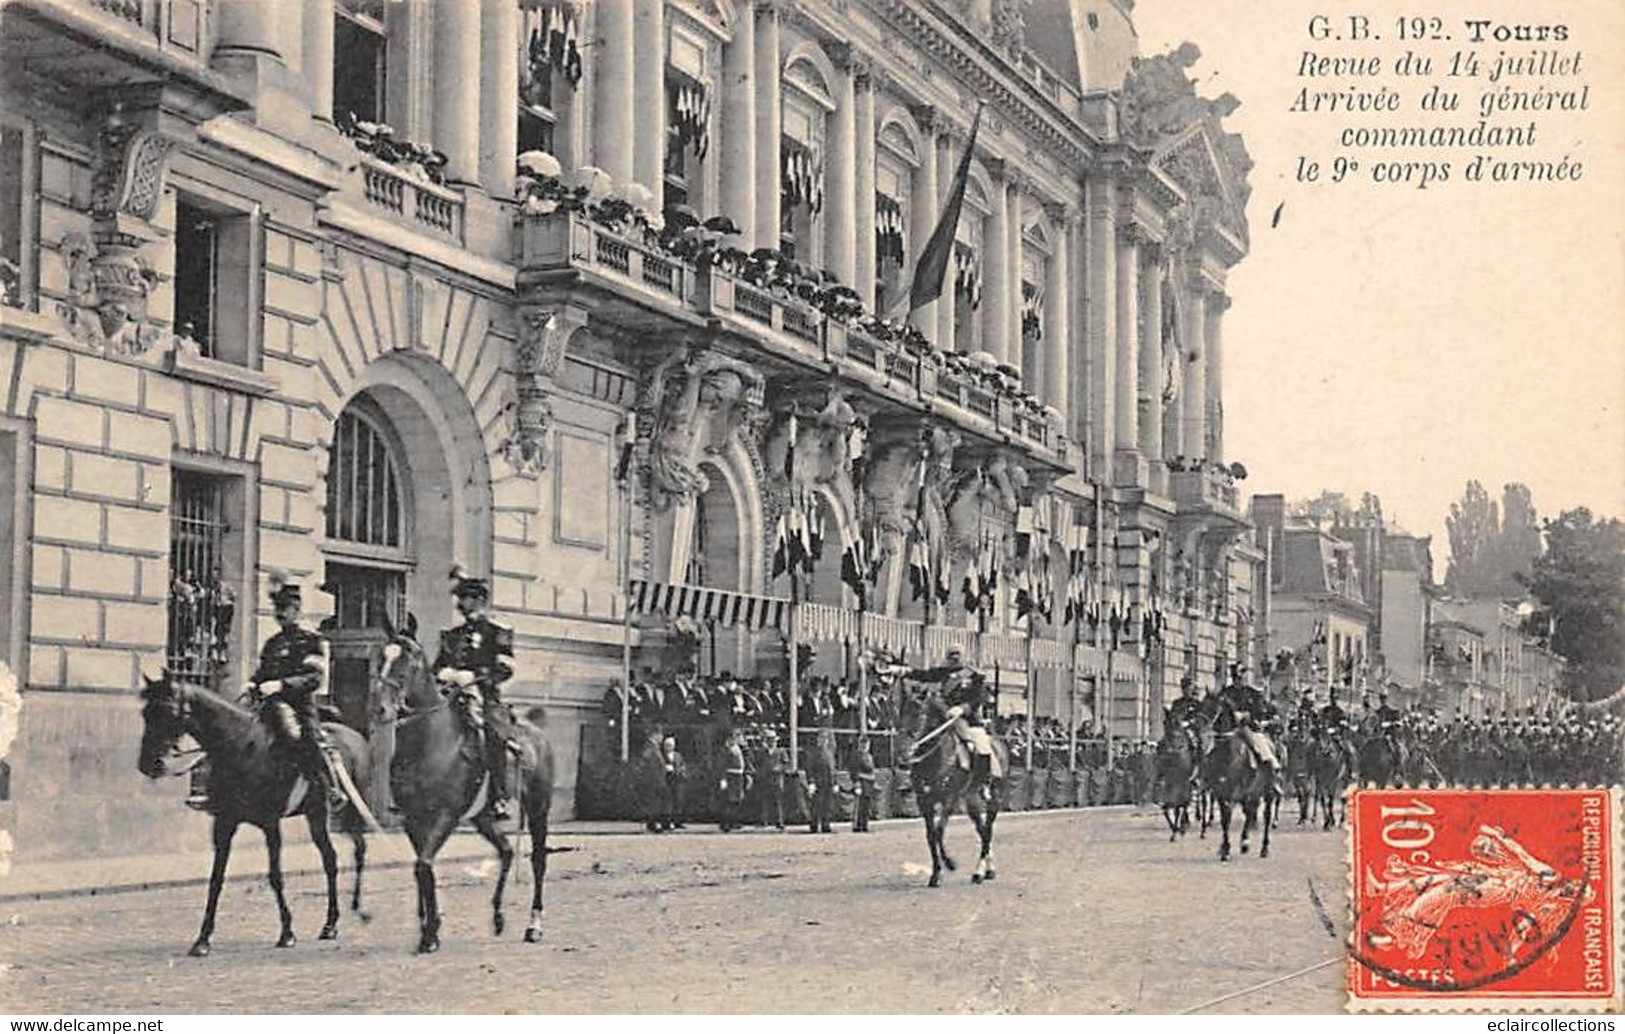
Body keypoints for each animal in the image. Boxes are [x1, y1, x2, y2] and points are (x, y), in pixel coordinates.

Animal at [136, 673, 372, 955]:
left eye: (169, 711)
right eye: (145, 713)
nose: (147, 764)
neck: (242, 748)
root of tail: (357, 737)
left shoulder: (271, 824)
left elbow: (275, 877)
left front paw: (287, 933)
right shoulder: (224, 824)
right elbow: (216, 879)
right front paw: (203, 939)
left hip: (343, 811)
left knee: (356, 850)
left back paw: (355, 911)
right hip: (315, 814)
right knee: (331, 859)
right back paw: (330, 924)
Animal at [375, 614, 559, 955]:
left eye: (407, 659)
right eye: (382, 656)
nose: (381, 709)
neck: (428, 743)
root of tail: (537, 730)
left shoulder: (444, 817)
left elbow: (423, 866)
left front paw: (430, 933)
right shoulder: (412, 820)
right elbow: (422, 868)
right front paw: (430, 928)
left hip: (538, 807)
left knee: (538, 861)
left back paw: (534, 926)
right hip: (483, 816)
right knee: (506, 851)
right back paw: (498, 916)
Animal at [903, 686, 1001, 890]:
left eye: (918, 711)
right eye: (900, 710)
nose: (906, 747)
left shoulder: (949, 799)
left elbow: (939, 831)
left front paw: (949, 864)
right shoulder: (924, 801)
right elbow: (931, 835)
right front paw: (935, 874)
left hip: (994, 799)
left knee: (987, 831)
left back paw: (979, 873)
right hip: (971, 799)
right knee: (982, 830)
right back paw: (988, 870)